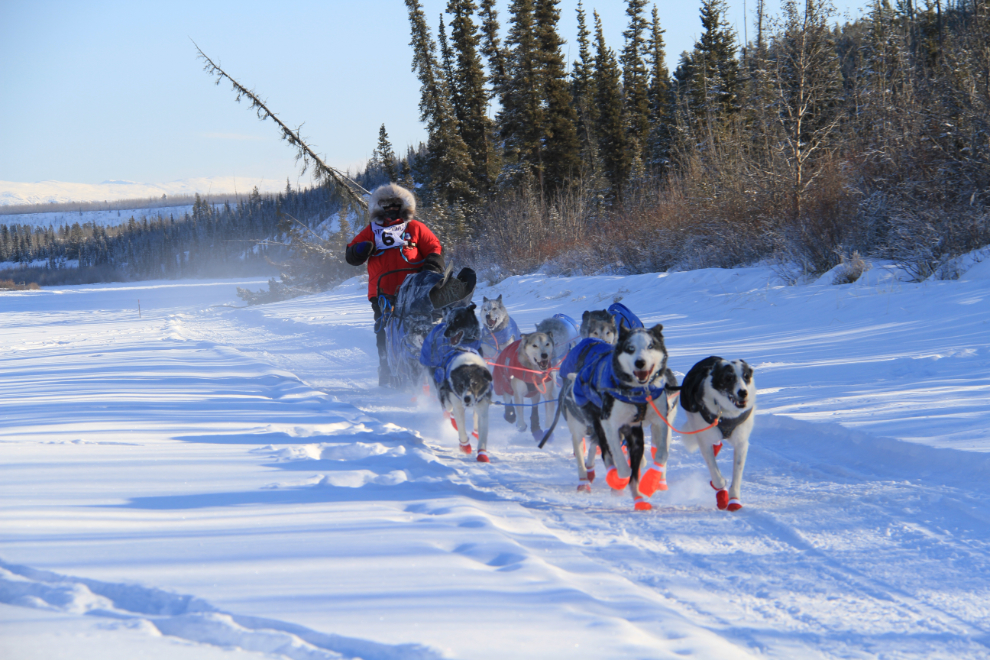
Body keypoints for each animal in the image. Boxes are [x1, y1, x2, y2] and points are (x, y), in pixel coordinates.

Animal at [680, 356, 760, 510]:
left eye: (746, 376)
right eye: (728, 378)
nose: (743, 392)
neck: (726, 413)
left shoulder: (741, 443)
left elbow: (737, 474)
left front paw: (734, 500)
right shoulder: (704, 441)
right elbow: (717, 477)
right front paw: (722, 493)